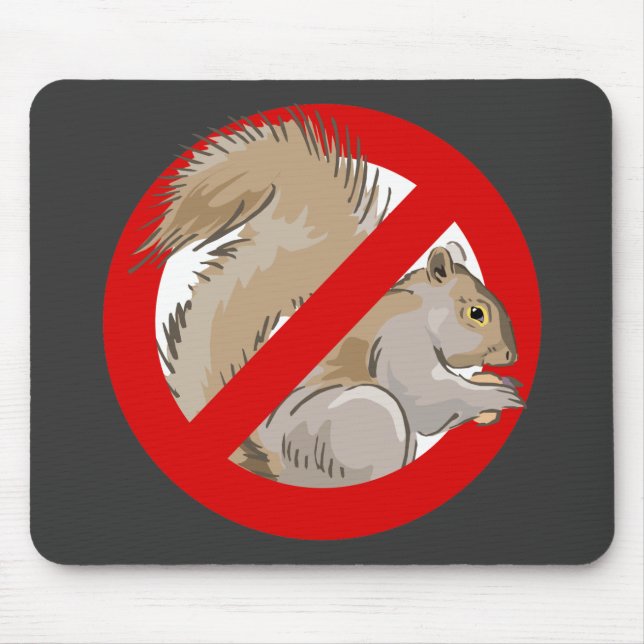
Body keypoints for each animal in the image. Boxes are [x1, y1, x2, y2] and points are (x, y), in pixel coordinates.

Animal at [137, 106, 525, 488]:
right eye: (475, 313)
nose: (511, 356)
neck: (422, 307)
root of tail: (275, 467)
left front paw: (490, 387)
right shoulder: (401, 339)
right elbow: (426, 397)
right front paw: (497, 395)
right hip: (363, 418)